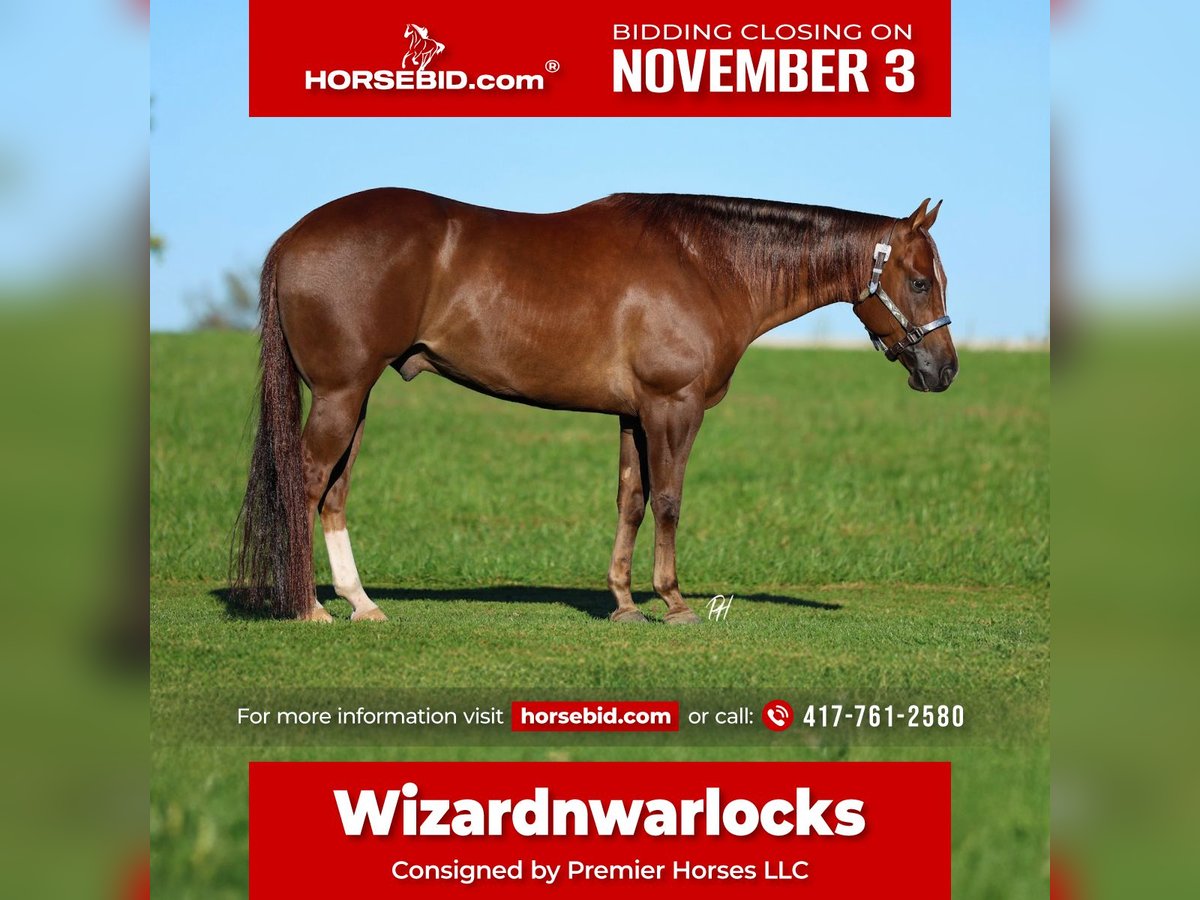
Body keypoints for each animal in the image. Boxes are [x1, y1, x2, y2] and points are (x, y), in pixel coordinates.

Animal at [231, 190, 956, 624]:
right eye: (921, 282)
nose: (944, 370)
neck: (707, 264)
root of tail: (292, 238)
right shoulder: (673, 408)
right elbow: (669, 500)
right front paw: (674, 602)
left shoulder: (634, 413)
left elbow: (631, 499)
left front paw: (624, 603)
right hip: (340, 394)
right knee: (307, 482)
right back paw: (310, 608)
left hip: (354, 398)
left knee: (334, 492)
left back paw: (361, 603)